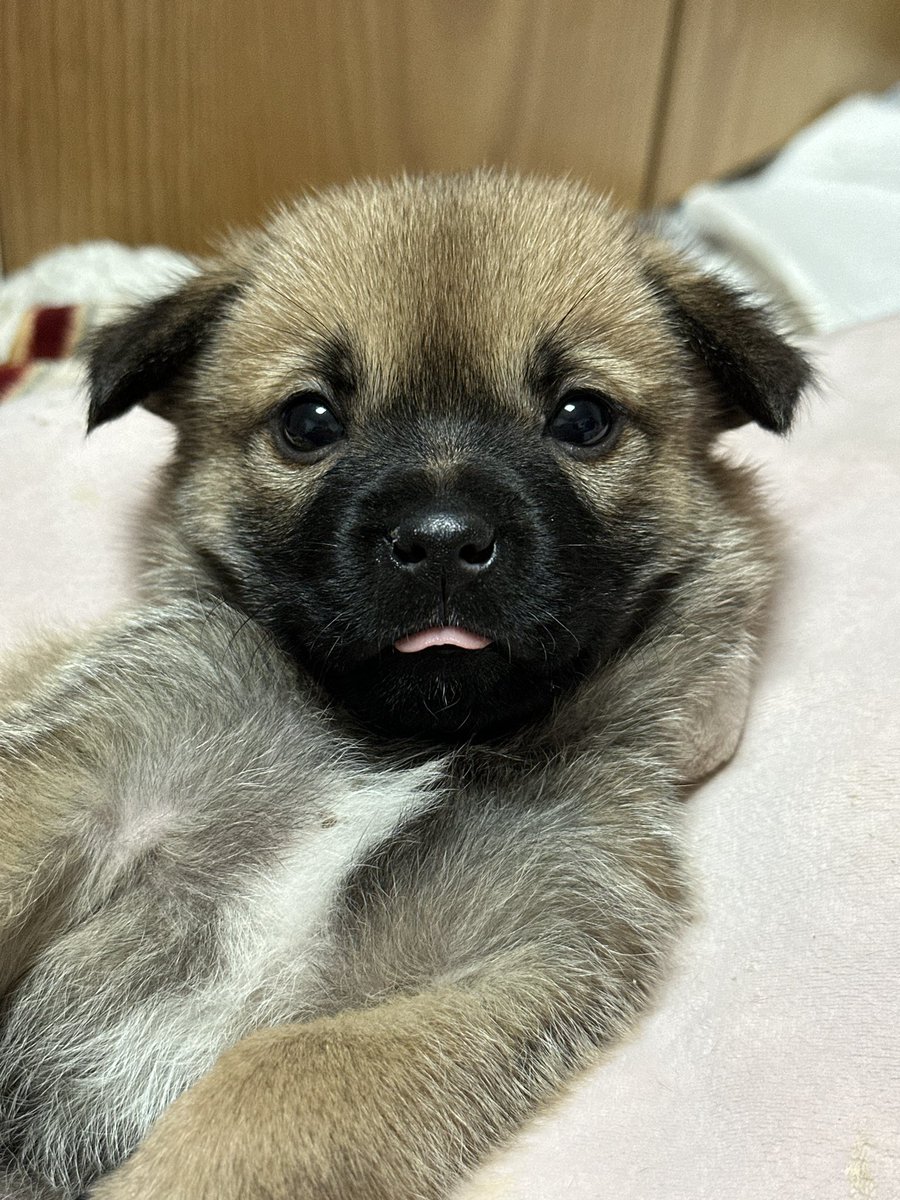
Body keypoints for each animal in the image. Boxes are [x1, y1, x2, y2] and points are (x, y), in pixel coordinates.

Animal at [0, 171, 806, 1200]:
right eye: (309, 421)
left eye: (582, 418)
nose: (442, 540)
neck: (391, 749)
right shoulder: (87, 774)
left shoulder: (498, 967)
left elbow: (274, 1084)